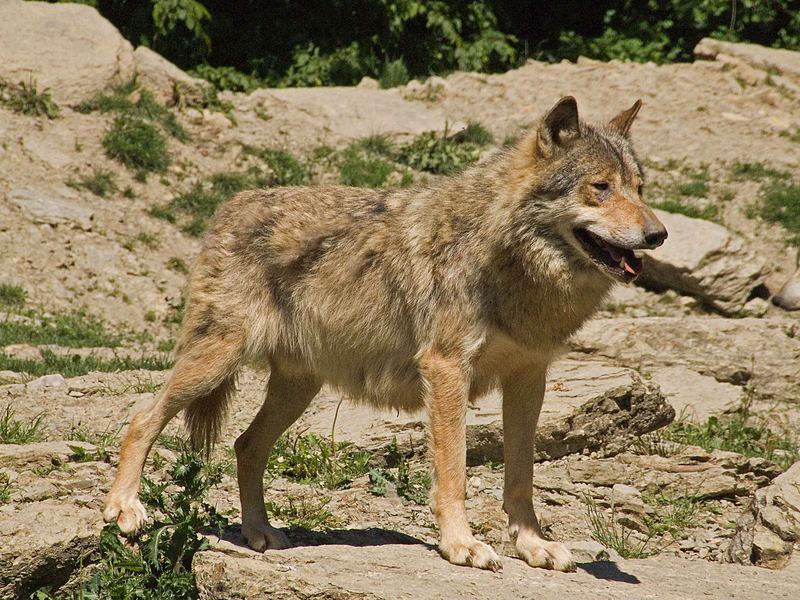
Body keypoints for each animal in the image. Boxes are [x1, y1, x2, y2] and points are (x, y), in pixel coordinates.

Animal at [106, 97, 668, 572]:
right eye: (601, 187)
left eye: (639, 188)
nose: (659, 234)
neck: (509, 260)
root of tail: (229, 204)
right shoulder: (447, 370)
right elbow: (454, 473)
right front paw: (462, 546)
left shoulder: (530, 379)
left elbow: (521, 478)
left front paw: (533, 547)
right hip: (216, 362)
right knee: (142, 418)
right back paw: (125, 508)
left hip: (297, 389)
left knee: (245, 445)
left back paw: (260, 532)